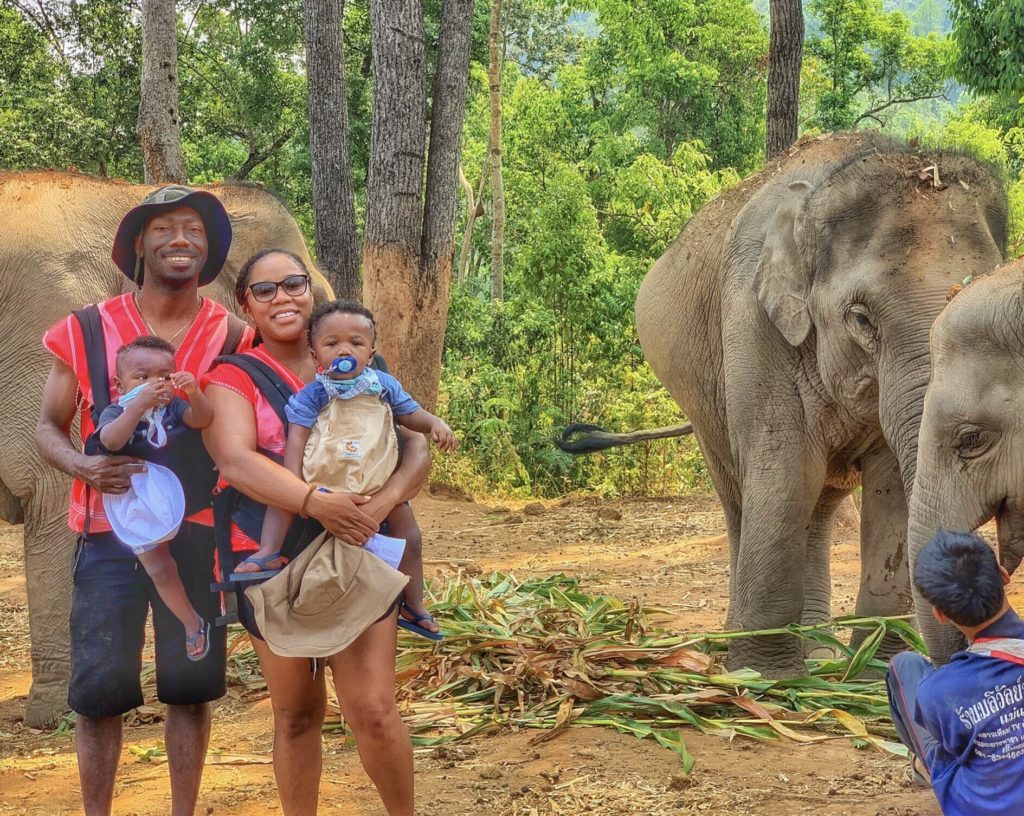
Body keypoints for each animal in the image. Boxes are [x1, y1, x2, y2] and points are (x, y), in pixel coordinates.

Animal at [569, 134, 1007, 675]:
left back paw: (819, 650)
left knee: (818, 507)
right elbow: (783, 471)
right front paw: (765, 675)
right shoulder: (751, 321)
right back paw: (745, 641)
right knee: (742, 495)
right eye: (861, 318)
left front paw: (875, 671)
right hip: (702, 404)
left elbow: (890, 489)